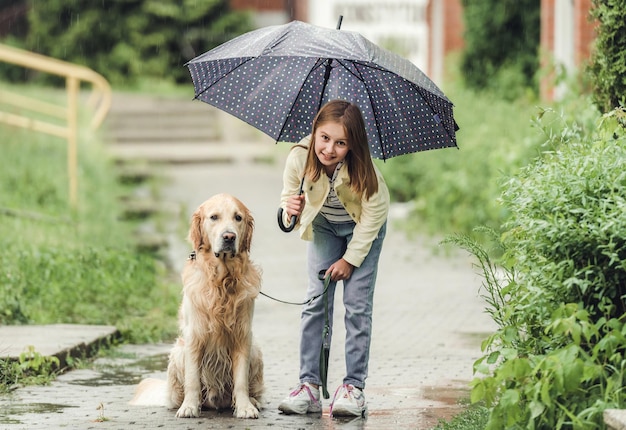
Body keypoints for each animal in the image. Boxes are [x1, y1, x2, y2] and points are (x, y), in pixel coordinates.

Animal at [165, 194, 262, 416]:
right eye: (214, 217)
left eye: (238, 217)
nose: (229, 237)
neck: (222, 281)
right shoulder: (194, 336)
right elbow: (192, 379)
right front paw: (189, 407)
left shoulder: (243, 335)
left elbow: (241, 380)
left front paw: (245, 407)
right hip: (178, 352)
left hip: (256, 349)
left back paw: (254, 401)